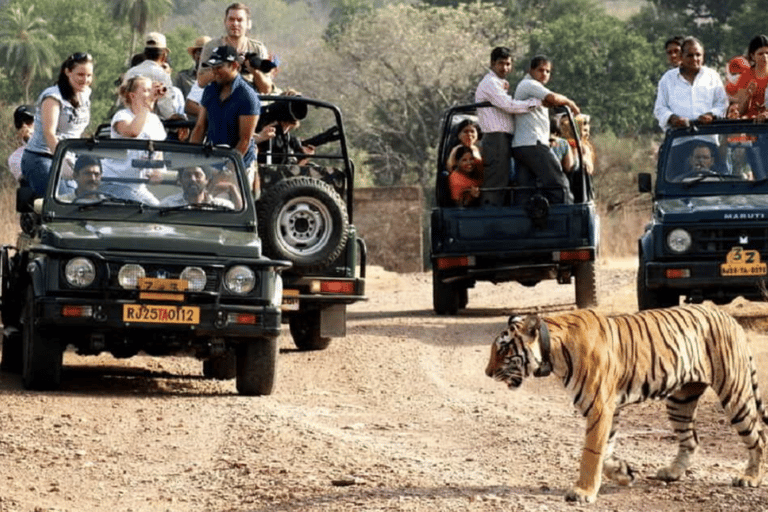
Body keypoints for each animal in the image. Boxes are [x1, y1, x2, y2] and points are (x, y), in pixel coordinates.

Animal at [484, 303, 768, 504]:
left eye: (503, 350)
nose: (487, 373)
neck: (552, 352)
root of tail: (729, 318)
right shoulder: (609, 408)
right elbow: (606, 450)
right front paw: (623, 473)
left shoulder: (599, 406)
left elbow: (591, 452)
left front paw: (583, 491)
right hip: (681, 400)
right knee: (691, 440)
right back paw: (672, 472)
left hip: (734, 392)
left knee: (758, 436)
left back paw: (750, 477)